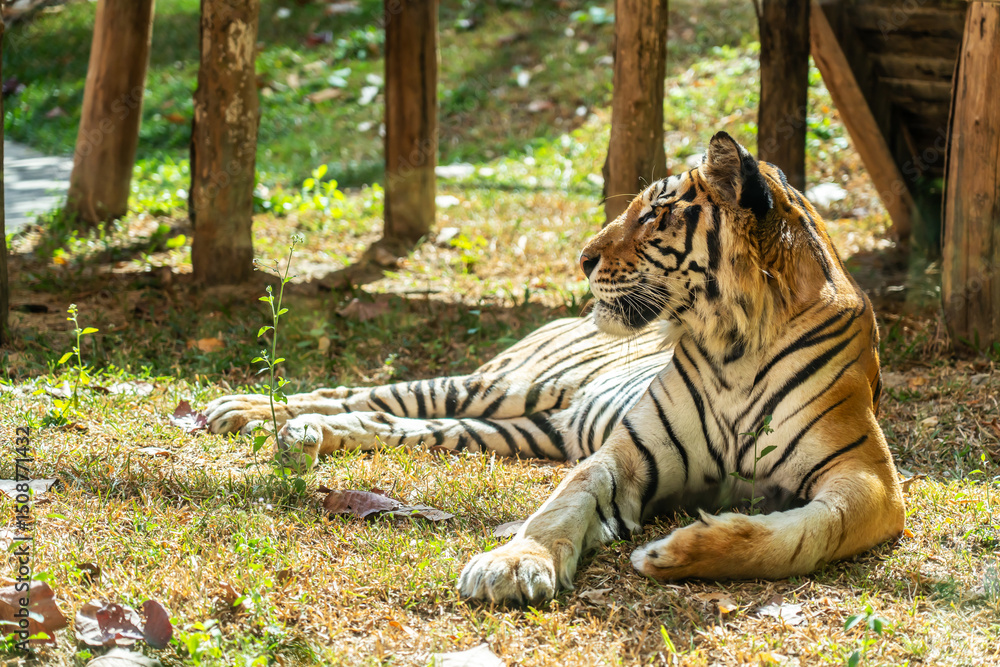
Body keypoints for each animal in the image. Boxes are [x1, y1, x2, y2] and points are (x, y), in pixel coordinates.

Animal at [206, 130, 904, 604]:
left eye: (654, 213)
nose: (583, 259)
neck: (735, 341)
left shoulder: (866, 477)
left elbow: (804, 535)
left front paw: (680, 552)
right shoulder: (625, 455)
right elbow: (564, 501)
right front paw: (514, 564)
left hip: (518, 428)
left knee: (384, 425)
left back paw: (301, 435)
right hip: (494, 386)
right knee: (365, 394)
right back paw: (245, 412)